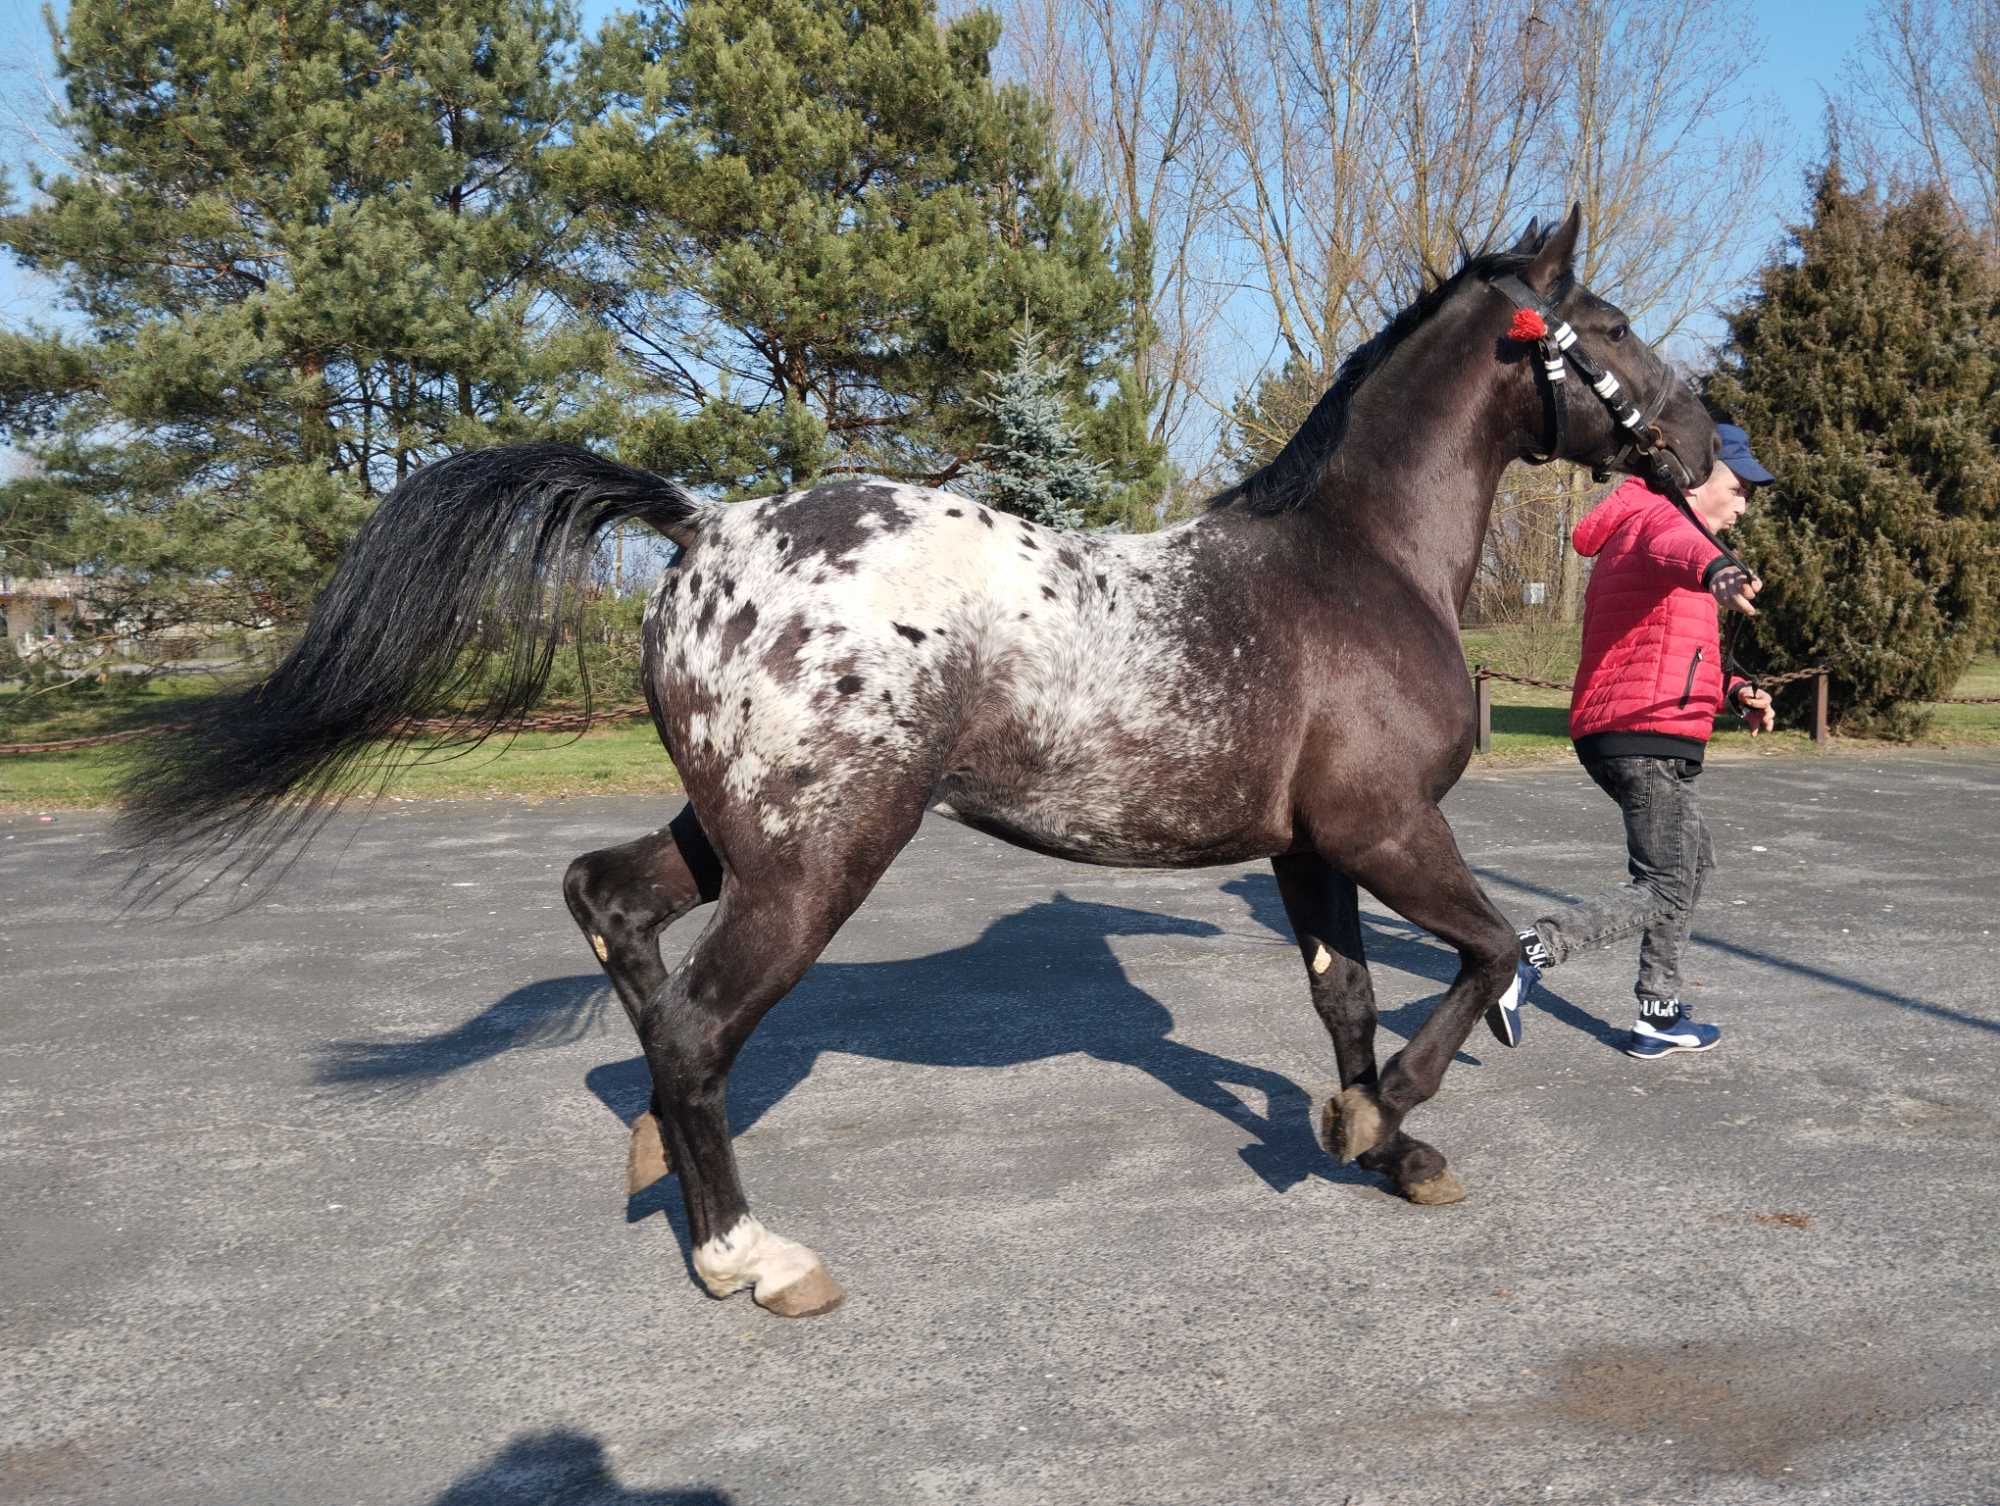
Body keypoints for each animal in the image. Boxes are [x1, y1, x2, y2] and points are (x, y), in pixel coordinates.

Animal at [125, 212, 1720, 1312]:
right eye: (1611, 326)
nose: (1713, 464)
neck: (1355, 566)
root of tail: (704, 528)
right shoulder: (1388, 828)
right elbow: (1491, 954)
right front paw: (1382, 1114)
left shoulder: (1313, 844)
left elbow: (1346, 999)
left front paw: (1382, 1143)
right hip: (820, 856)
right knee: (695, 1030)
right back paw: (748, 1255)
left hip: (738, 831)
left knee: (611, 907)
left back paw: (659, 1171)